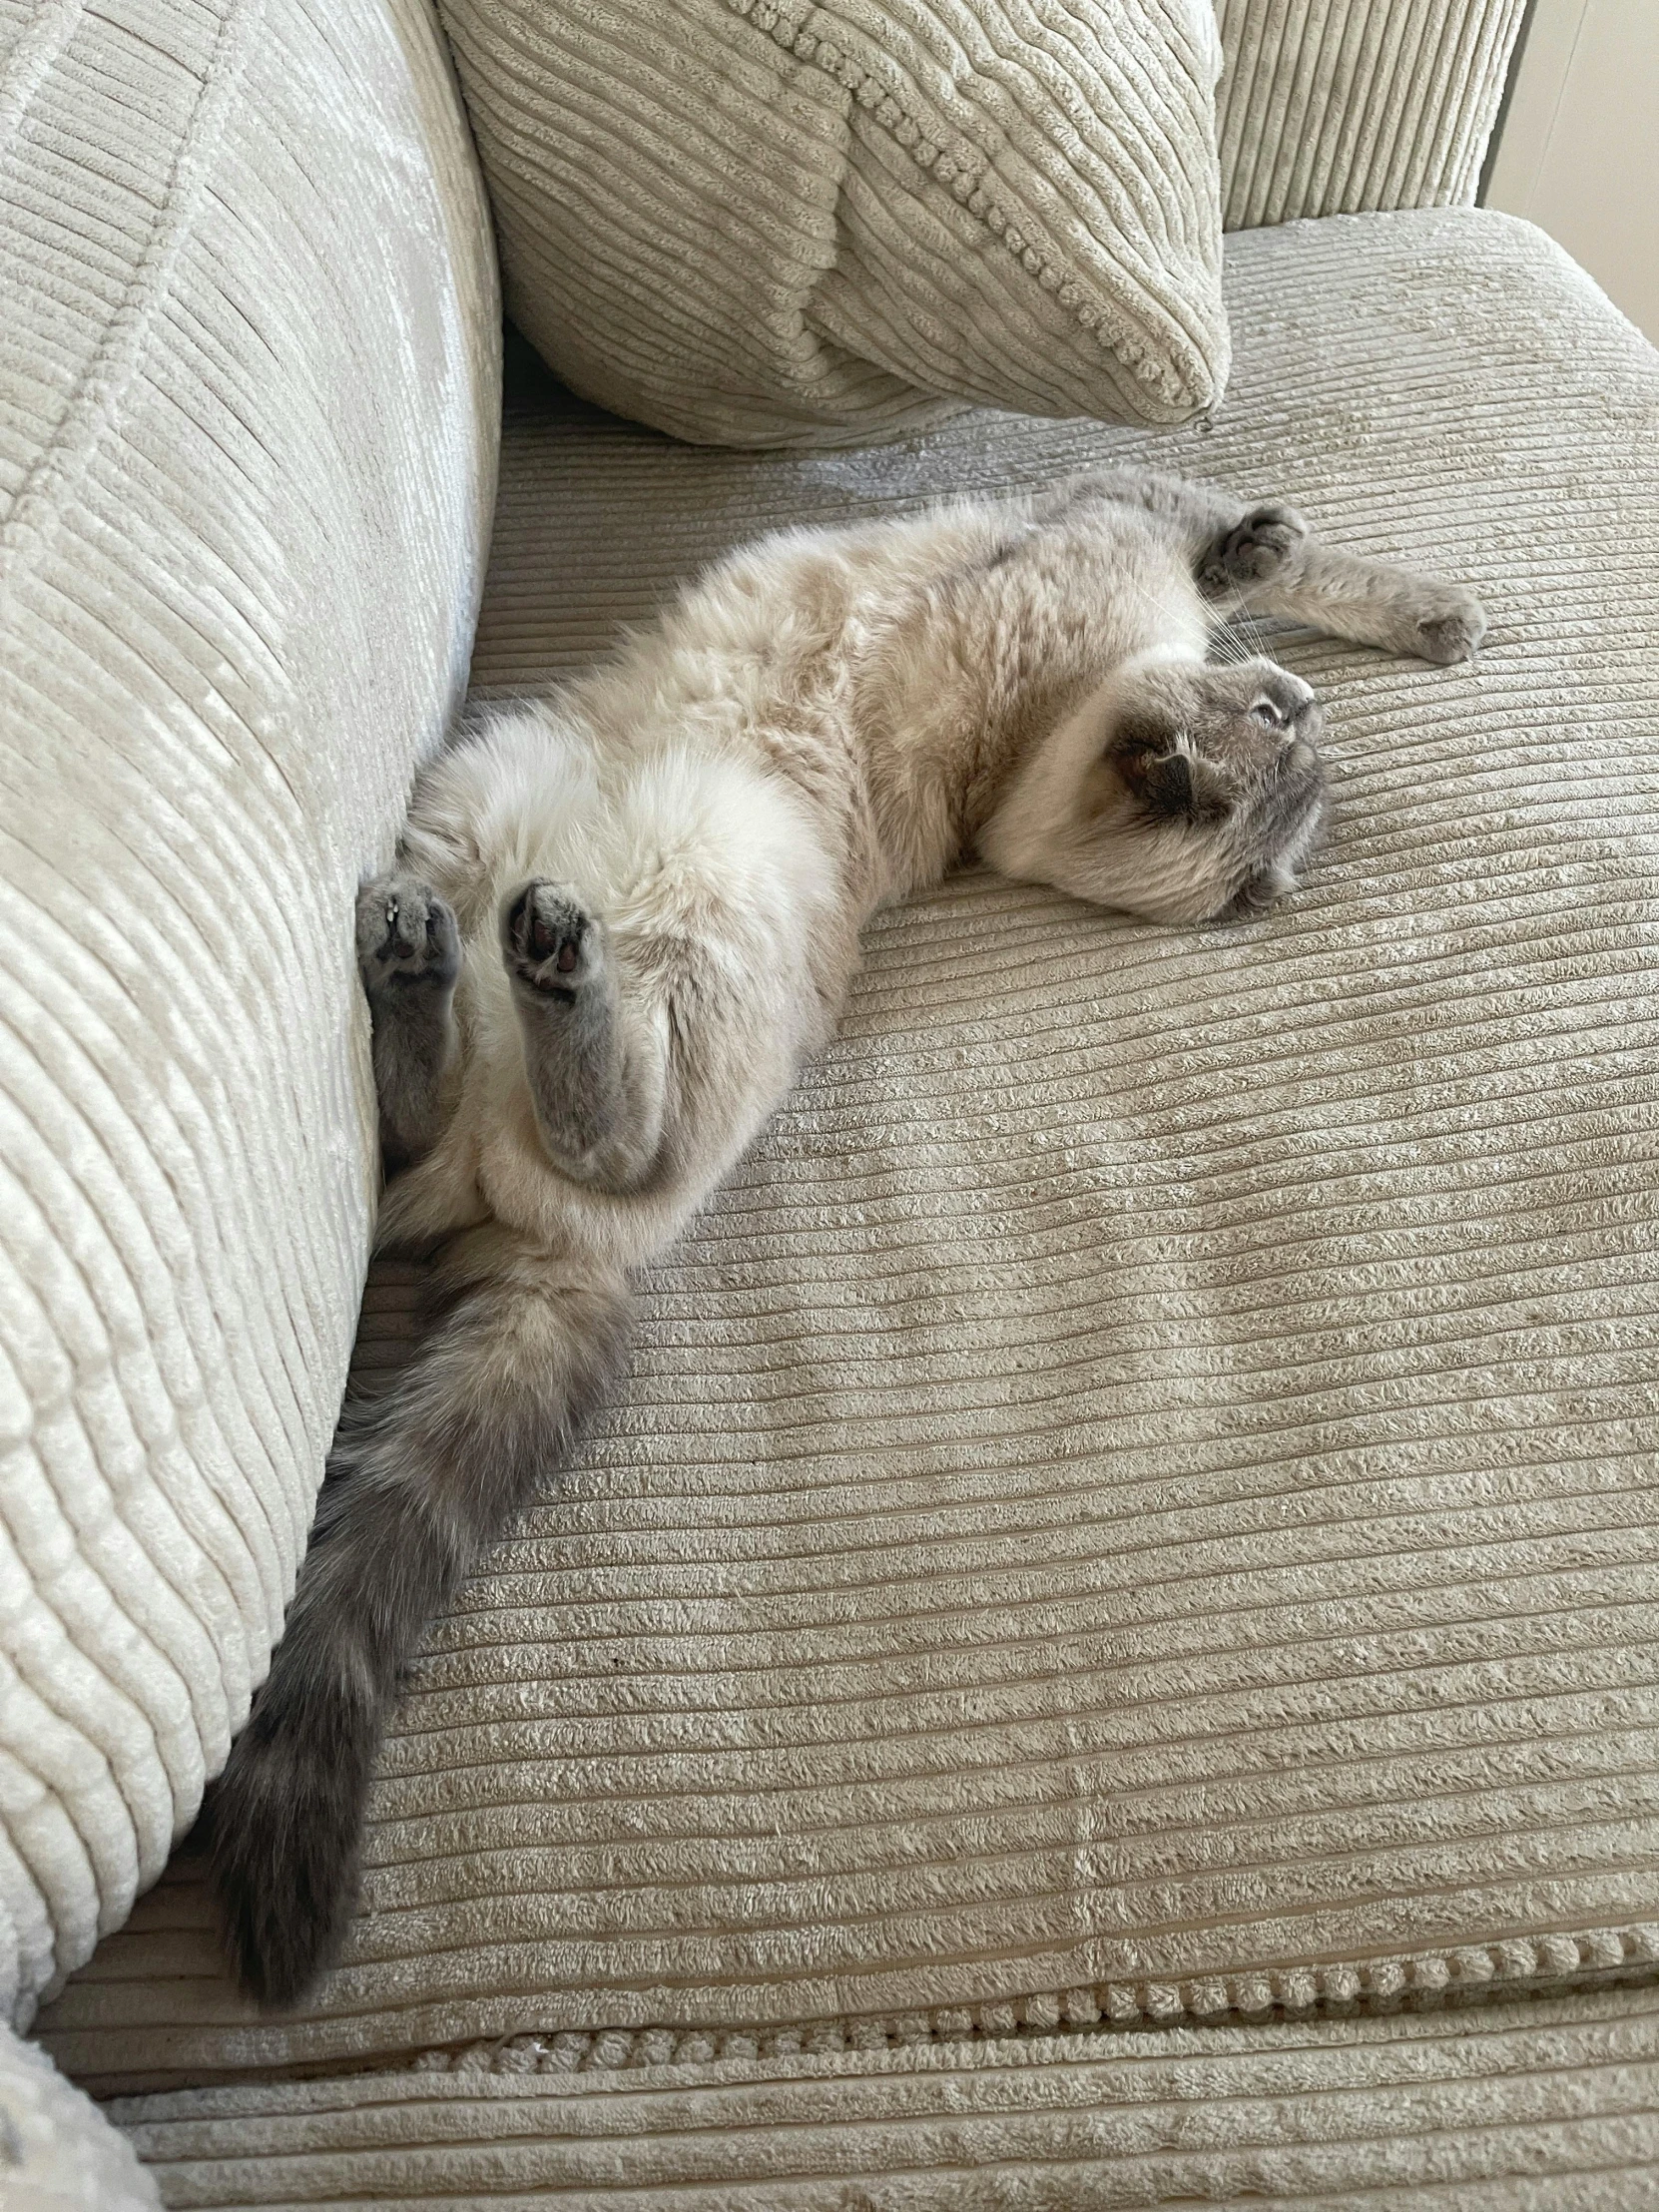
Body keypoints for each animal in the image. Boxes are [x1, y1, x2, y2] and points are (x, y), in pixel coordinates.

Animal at [208, 462, 1495, 2008]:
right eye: (1272, 724)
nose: (1294, 702)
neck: (1023, 759)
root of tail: (558, 1249)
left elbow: (1251, 563)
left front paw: (1374, 604)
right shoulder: (1118, 523)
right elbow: (1272, 561)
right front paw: (1405, 605)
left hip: (705, 928)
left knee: (578, 1141)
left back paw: (520, 961)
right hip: (497, 803)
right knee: (444, 1128)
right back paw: (435, 950)